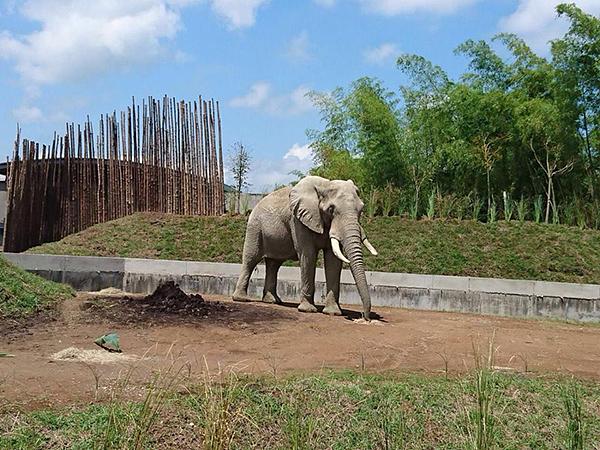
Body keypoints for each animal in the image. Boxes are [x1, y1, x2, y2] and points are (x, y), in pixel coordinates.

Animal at [232, 175, 378, 320]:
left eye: (361, 209)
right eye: (331, 209)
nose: (365, 317)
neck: (325, 185)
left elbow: (333, 260)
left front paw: (333, 313)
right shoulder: (298, 220)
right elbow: (308, 255)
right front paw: (308, 310)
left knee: (274, 264)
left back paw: (273, 301)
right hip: (255, 227)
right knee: (251, 259)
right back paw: (241, 299)